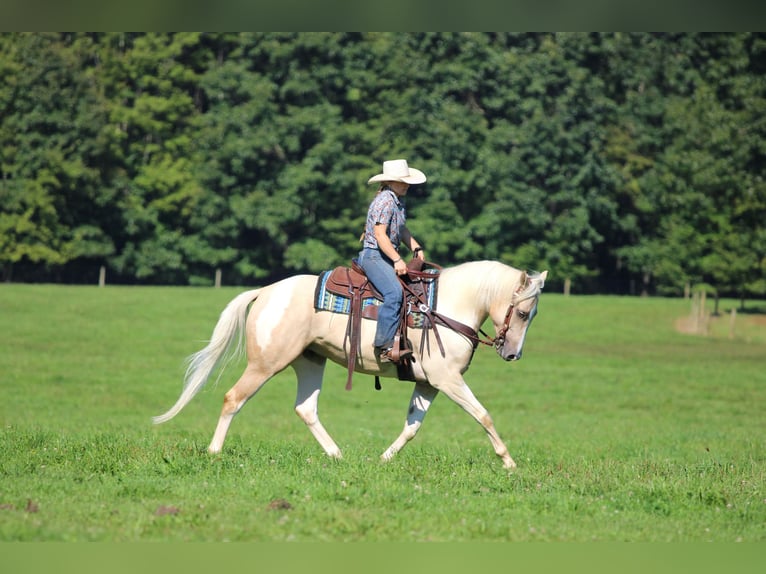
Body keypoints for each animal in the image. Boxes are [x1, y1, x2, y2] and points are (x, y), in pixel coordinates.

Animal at [153, 260, 547, 470]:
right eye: (522, 313)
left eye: (532, 315)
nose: (512, 355)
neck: (445, 307)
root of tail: (265, 291)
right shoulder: (447, 380)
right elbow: (483, 415)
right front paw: (509, 462)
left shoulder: (428, 383)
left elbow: (412, 427)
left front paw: (384, 459)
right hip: (266, 363)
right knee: (233, 398)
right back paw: (214, 452)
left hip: (310, 362)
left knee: (305, 408)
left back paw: (336, 454)